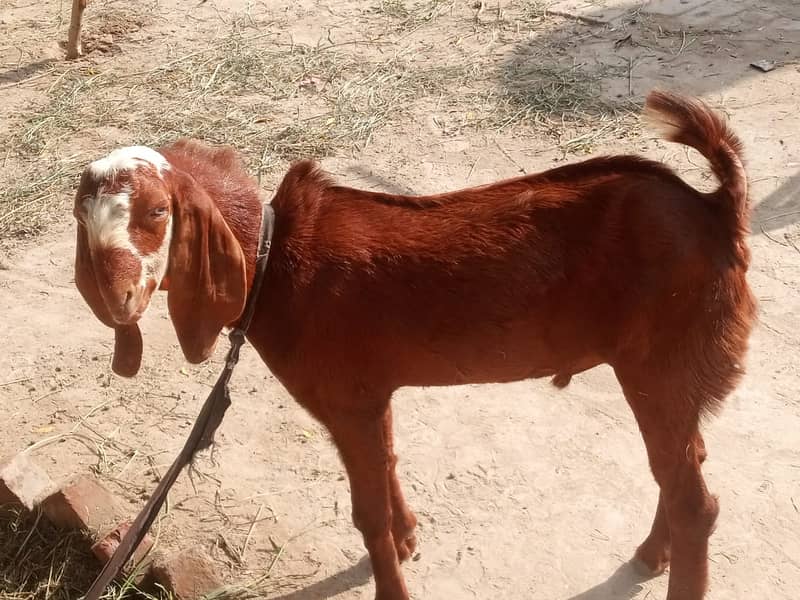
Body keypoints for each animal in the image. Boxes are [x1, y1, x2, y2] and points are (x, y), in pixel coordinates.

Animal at [73, 90, 756, 600]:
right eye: (82, 217)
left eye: (158, 212)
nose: (116, 298)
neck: (271, 262)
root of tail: (716, 209)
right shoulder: (370, 394)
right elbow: (389, 464)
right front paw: (407, 538)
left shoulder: (347, 401)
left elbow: (365, 514)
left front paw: (391, 575)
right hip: (671, 371)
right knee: (686, 463)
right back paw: (650, 554)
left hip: (660, 362)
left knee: (694, 500)